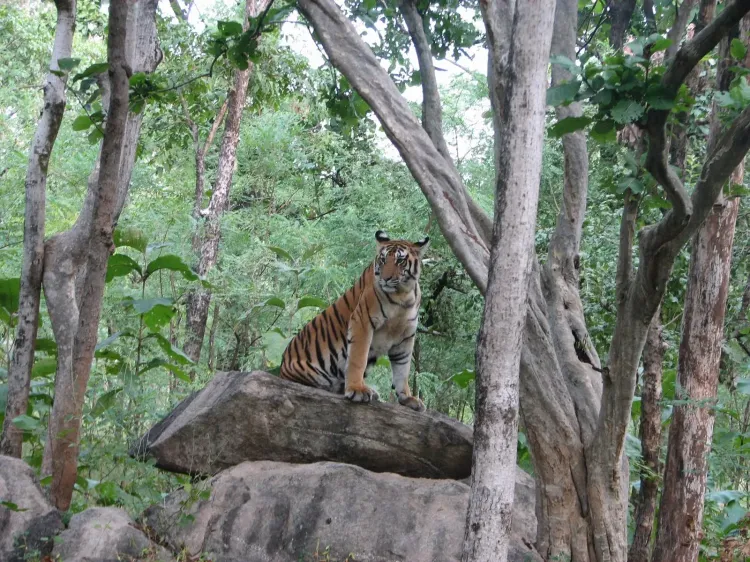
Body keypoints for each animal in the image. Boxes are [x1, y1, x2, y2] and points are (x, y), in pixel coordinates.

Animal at [279, 230, 429, 412]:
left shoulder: (406, 335)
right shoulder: (363, 321)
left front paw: (408, 398)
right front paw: (357, 390)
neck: (403, 296)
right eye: (383, 260)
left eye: (400, 261)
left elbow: (403, 369)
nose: (386, 278)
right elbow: (358, 358)